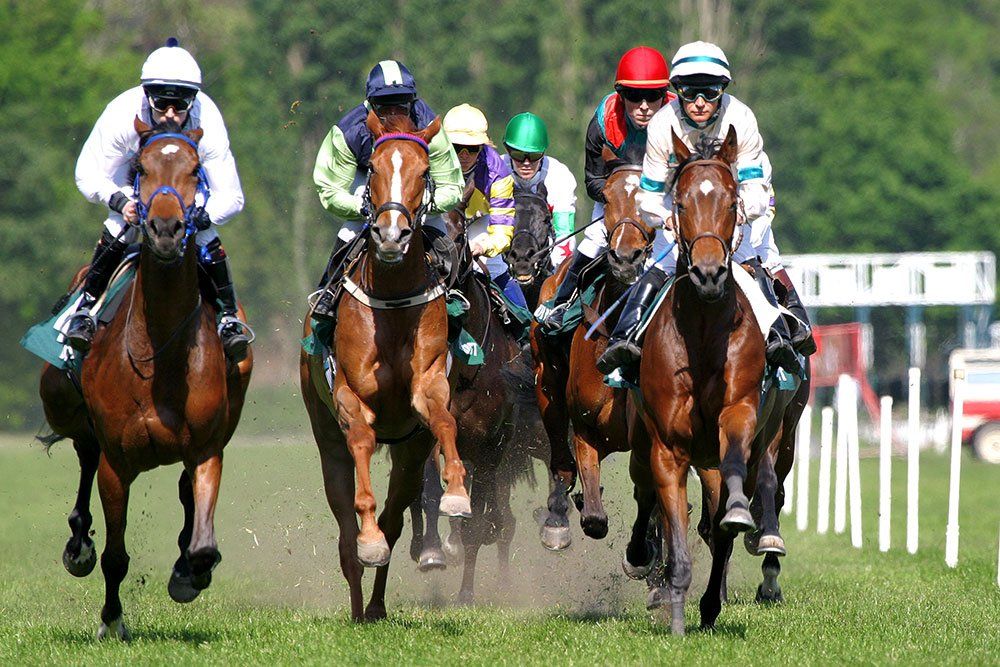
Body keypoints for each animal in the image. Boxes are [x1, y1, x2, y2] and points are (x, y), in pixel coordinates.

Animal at [40, 117, 254, 640]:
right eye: (141, 166)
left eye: (196, 168)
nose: (165, 229)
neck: (161, 352)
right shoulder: (118, 463)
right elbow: (115, 556)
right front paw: (111, 620)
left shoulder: (206, 449)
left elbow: (202, 541)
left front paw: (190, 573)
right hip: (64, 406)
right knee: (84, 452)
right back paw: (78, 545)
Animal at [298, 111, 470, 620]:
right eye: (372, 167)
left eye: (423, 171)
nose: (392, 235)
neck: (391, 299)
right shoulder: (349, 399)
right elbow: (360, 443)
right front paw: (368, 538)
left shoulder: (428, 385)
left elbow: (446, 420)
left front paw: (457, 492)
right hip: (325, 440)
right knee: (344, 531)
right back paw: (359, 602)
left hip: (410, 454)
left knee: (396, 518)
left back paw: (375, 605)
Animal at [628, 126, 800, 636]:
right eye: (682, 203)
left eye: (731, 201)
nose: (707, 273)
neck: (703, 331)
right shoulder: (668, 447)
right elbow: (675, 530)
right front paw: (676, 613)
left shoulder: (740, 415)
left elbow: (732, 496)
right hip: (644, 441)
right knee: (646, 494)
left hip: (770, 438)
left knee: (732, 514)